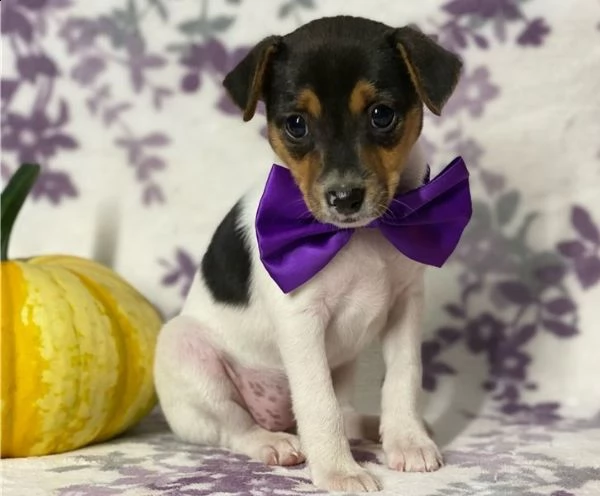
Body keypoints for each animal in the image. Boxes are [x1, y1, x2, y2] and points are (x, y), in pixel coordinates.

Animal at [154, 15, 460, 492]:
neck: (360, 236)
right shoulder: (301, 320)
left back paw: (372, 428)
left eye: (382, 115)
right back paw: (273, 442)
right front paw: (339, 470)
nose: (344, 198)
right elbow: (319, 404)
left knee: (347, 413)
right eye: (296, 124)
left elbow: (403, 379)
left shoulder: (406, 306)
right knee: (235, 427)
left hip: (345, 364)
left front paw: (407, 440)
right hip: (186, 353)